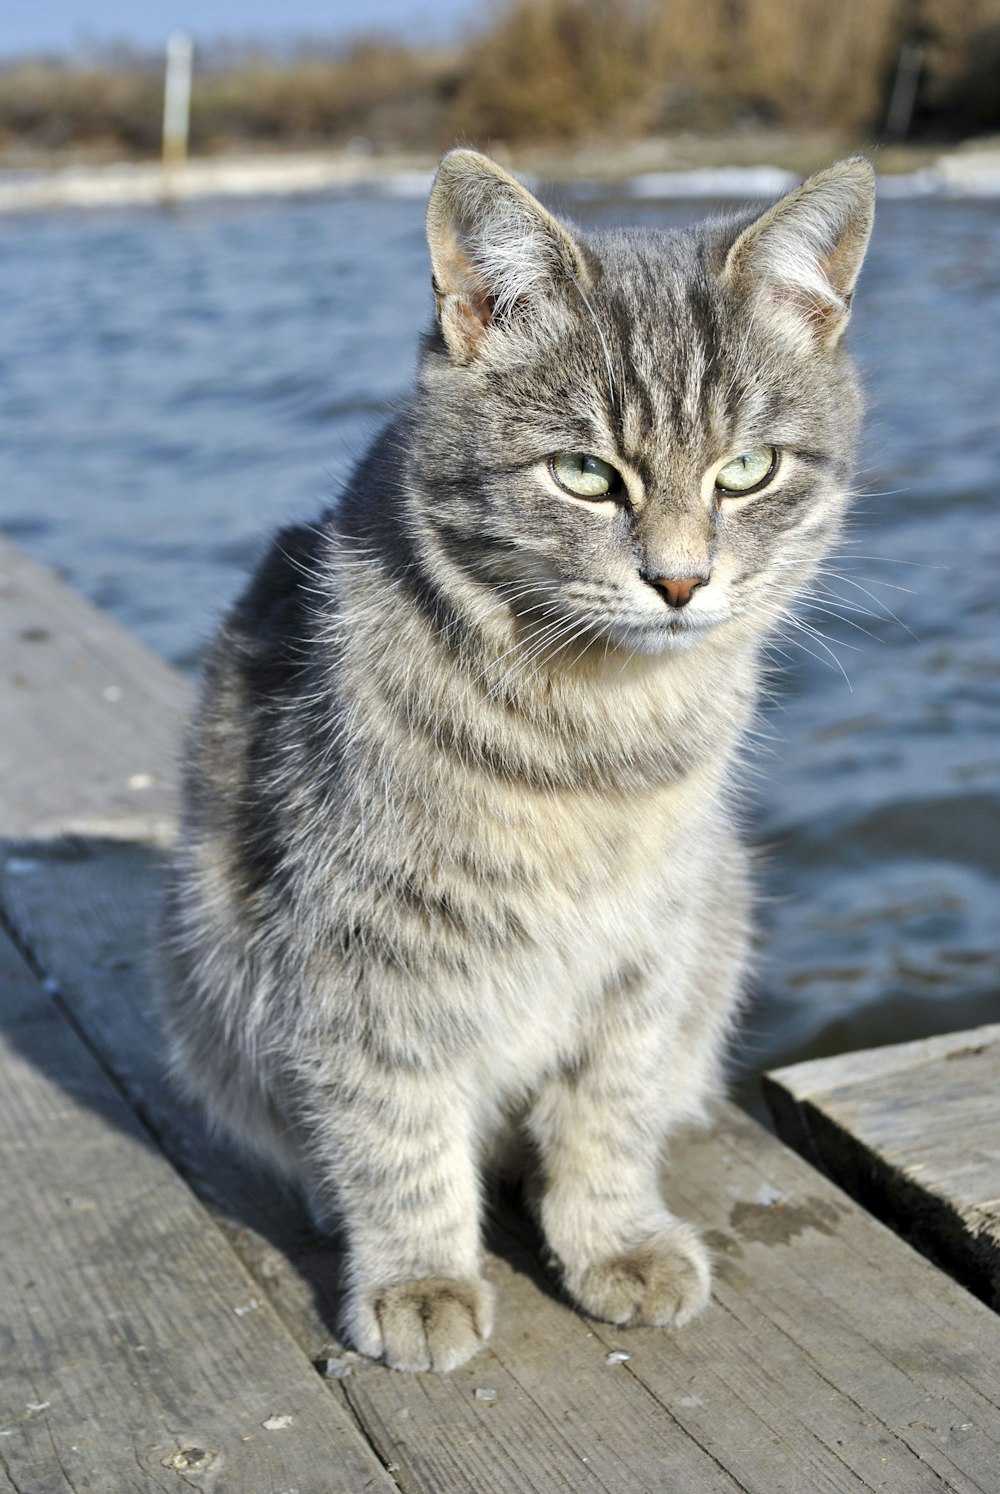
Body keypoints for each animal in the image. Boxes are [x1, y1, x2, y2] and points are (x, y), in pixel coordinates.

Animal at [157, 145, 872, 1368]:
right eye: (584, 474)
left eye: (746, 470)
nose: (681, 580)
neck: (596, 735)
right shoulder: (358, 948)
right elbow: (394, 1129)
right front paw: (418, 1276)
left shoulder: (649, 947)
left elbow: (607, 1114)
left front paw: (613, 1240)